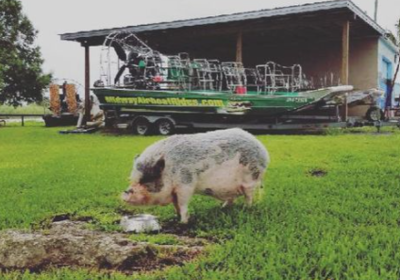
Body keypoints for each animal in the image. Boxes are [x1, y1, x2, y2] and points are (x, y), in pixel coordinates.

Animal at [122, 129, 270, 223]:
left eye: (147, 179)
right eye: (133, 179)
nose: (125, 192)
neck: (170, 169)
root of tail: (263, 150)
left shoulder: (186, 184)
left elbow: (183, 203)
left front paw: (183, 222)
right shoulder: (175, 191)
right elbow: (176, 204)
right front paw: (176, 218)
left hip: (250, 178)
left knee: (249, 196)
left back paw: (246, 209)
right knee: (231, 198)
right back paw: (222, 208)